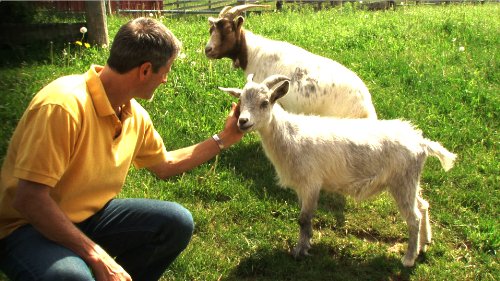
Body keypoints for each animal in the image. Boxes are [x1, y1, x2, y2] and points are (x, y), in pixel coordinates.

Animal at [219, 73, 458, 266]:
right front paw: (306, 244)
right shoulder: (303, 187)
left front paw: (299, 251)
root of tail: (422, 143)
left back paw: (408, 258)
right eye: (240, 101)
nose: (242, 122)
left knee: (413, 217)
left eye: (265, 102)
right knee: (423, 205)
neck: (289, 135)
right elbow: (305, 219)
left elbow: (304, 219)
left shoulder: (311, 183)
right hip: (408, 181)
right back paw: (424, 244)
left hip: (403, 181)